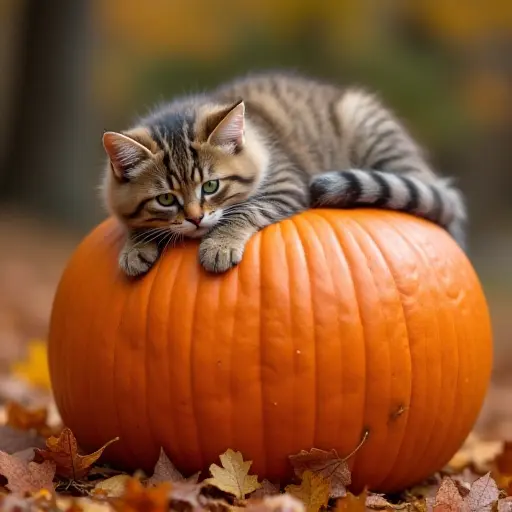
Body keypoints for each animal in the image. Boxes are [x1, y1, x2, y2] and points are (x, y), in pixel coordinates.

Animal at [100, 71, 464, 276]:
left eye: (211, 186)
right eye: (165, 199)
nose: (194, 219)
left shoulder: (285, 184)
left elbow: (245, 210)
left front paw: (219, 244)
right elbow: (134, 224)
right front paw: (135, 247)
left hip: (374, 132)